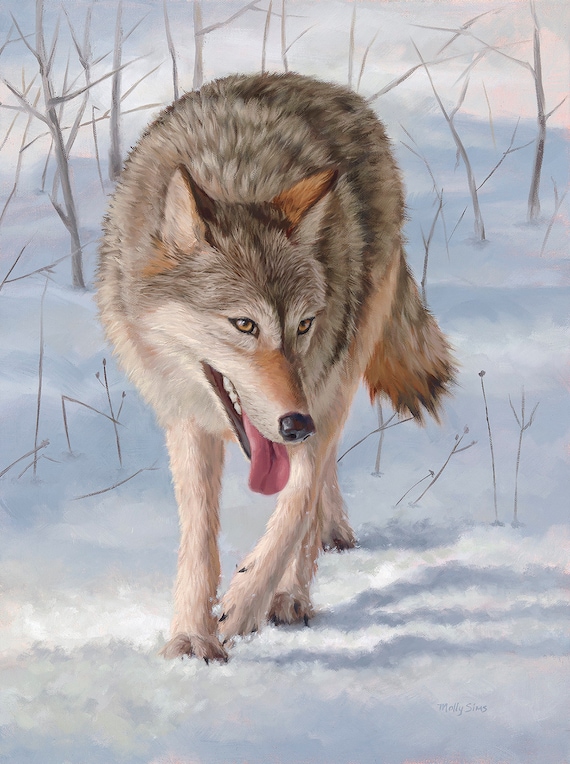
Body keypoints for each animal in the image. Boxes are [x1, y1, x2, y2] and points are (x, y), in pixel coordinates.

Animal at [97, 72, 455, 663]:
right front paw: (192, 638)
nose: (294, 425)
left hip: (339, 373)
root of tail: (322, 85)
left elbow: (294, 506)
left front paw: (246, 603)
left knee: (315, 480)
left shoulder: (318, 392)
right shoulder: (186, 419)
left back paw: (293, 590)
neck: (239, 180)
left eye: (303, 325)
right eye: (245, 325)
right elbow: (200, 533)